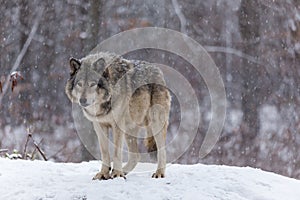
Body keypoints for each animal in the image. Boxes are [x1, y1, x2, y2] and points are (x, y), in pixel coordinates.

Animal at [65, 52, 171, 180]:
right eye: (79, 84)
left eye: (93, 84)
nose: (83, 100)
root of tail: (158, 70)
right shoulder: (99, 126)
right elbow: (105, 152)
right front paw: (104, 173)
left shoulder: (117, 126)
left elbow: (116, 152)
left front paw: (117, 174)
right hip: (129, 130)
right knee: (136, 156)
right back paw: (124, 172)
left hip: (155, 124)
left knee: (162, 151)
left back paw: (159, 173)